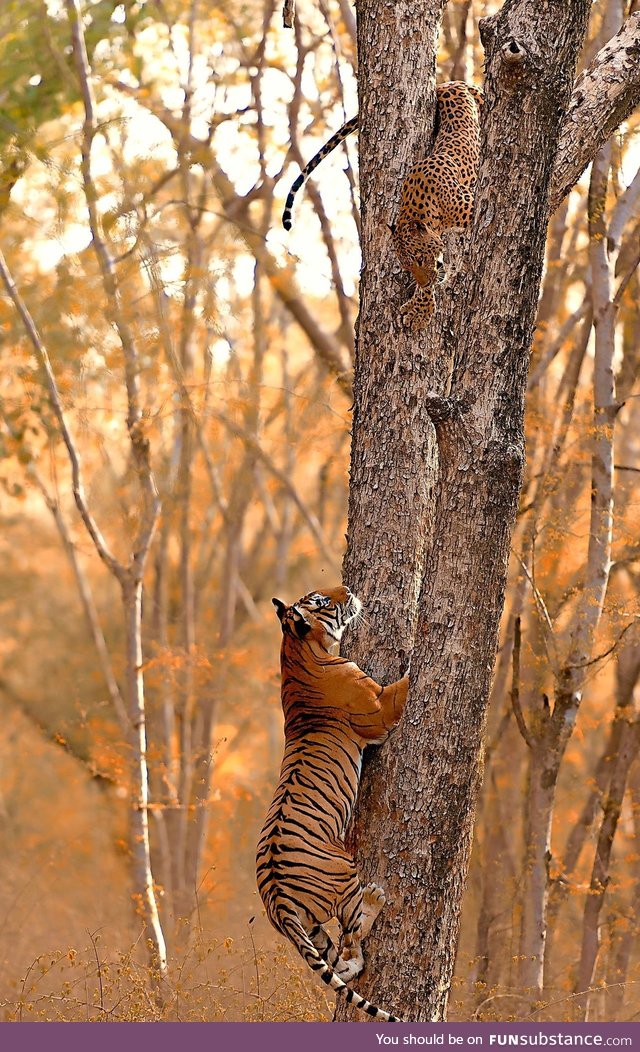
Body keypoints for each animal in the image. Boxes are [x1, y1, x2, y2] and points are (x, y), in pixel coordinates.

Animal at [253, 584, 408, 1018]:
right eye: (321, 601)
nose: (349, 589)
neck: (296, 650)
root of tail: (276, 897)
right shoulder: (380, 708)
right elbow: (406, 684)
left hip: (309, 926)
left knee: (340, 962)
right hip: (344, 874)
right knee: (353, 936)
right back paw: (375, 898)